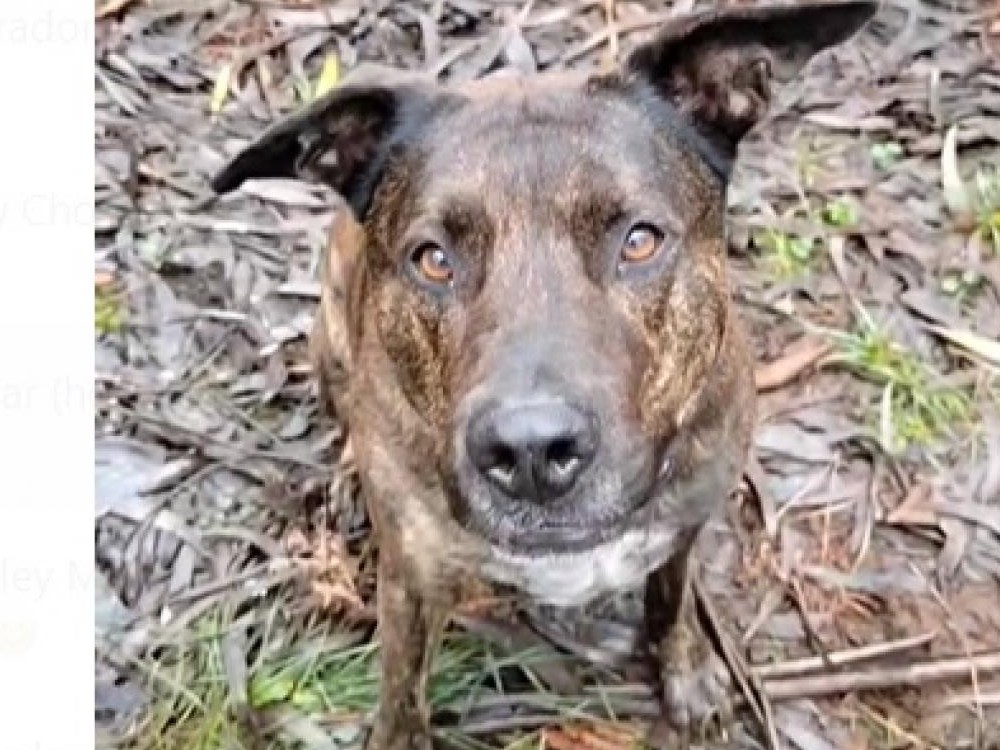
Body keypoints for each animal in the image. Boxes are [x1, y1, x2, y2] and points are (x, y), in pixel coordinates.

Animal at [210, 2, 877, 746]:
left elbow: (671, 596)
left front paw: (686, 668)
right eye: (432, 259)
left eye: (640, 240)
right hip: (327, 343)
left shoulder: (687, 523)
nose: (531, 451)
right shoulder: (411, 582)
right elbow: (402, 690)